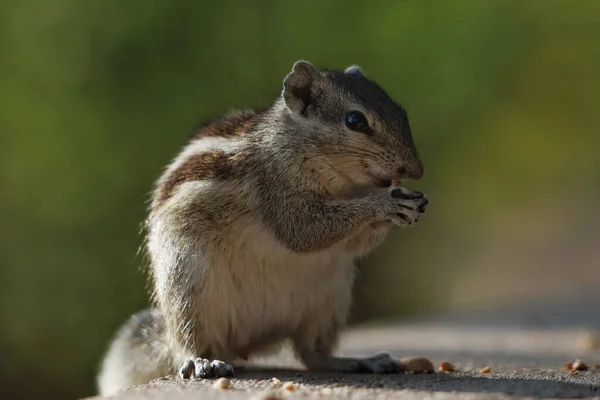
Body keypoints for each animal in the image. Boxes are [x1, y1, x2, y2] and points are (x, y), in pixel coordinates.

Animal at [97, 61, 426, 396]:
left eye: (401, 112)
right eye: (355, 121)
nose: (415, 170)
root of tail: (245, 342)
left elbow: (352, 244)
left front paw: (408, 204)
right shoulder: (275, 189)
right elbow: (306, 231)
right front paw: (385, 203)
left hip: (329, 299)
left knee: (310, 353)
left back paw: (359, 361)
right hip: (188, 287)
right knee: (189, 343)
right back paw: (202, 361)